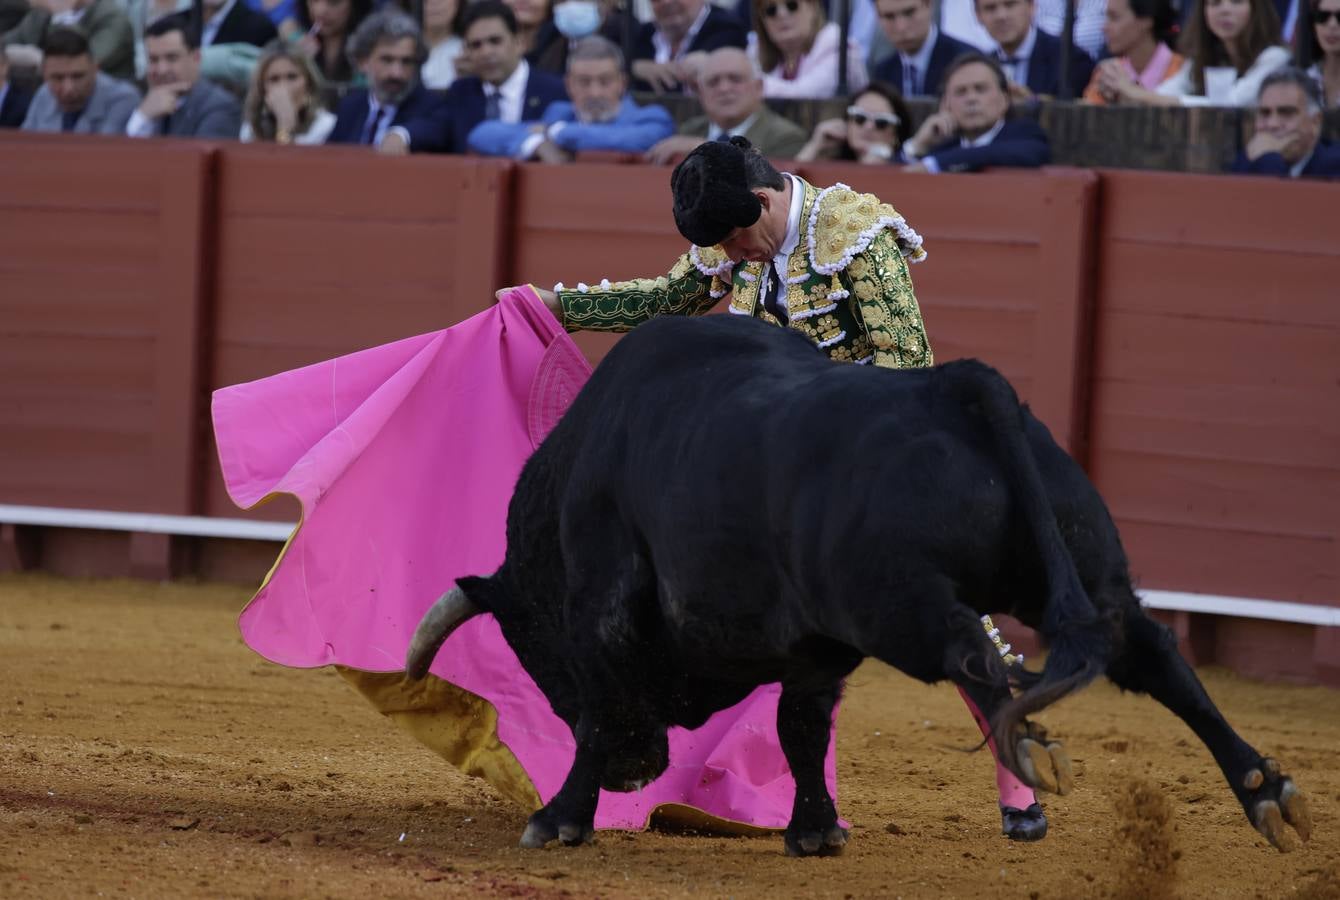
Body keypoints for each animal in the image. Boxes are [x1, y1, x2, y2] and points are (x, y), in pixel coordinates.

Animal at [404, 314, 1307, 857]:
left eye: (536, 655)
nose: (636, 773)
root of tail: (958, 387)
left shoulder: (600, 609)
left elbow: (597, 712)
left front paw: (558, 818)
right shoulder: (814, 645)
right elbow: (802, 729)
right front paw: (815, 832)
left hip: (894, 605)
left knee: (973, 654)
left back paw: (1038, 753)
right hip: (1085, 569)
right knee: (1149, 652)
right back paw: (1265, 792)